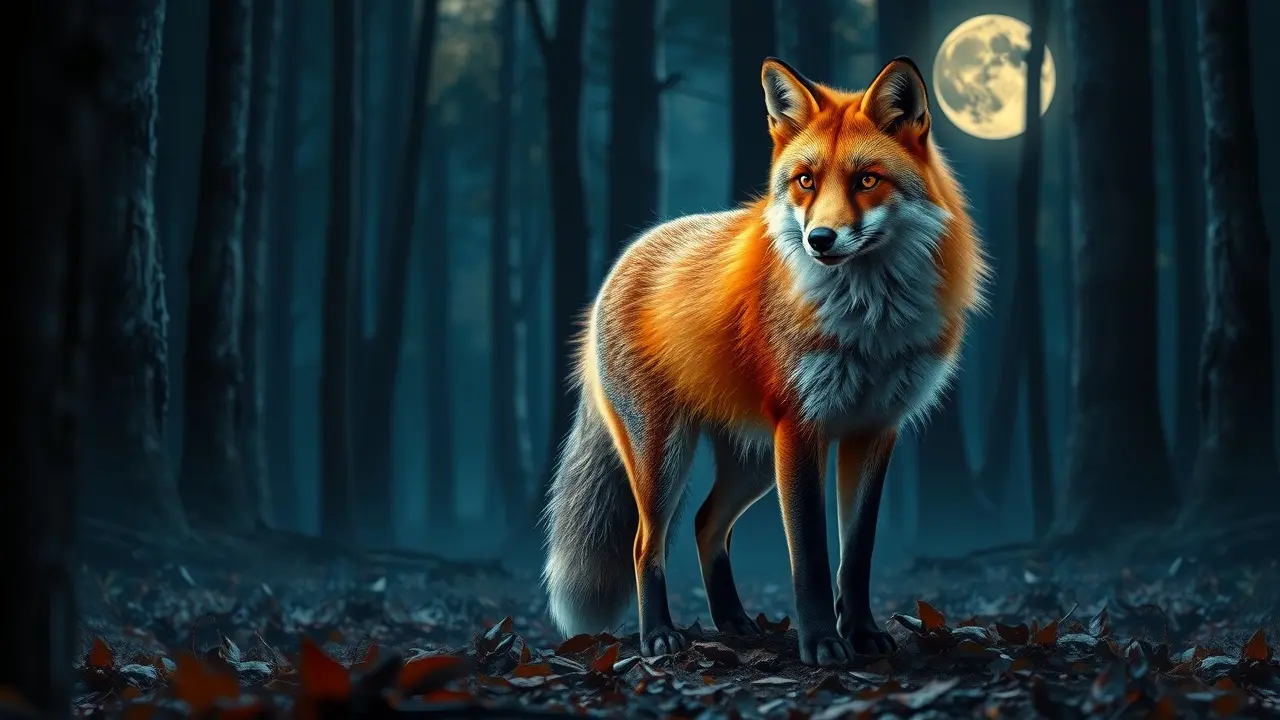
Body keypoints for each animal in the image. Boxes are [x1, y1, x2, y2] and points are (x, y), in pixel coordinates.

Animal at [541, 56, 985, 667]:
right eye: (806, 181)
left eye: (867, 180)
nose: (820, 238)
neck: (868, 322)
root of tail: (630, 252)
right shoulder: (800, 429)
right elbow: (811, 559)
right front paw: (821, 642)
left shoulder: (875, 429)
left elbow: (856, 555)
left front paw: (862, 633)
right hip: (665, 456)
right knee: (644, 543)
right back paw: (658, 636)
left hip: (751, 463)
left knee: (705, 525)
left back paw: (732, 622)